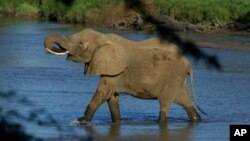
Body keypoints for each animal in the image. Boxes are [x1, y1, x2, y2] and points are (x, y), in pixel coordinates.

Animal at [44, 28, 204, 123]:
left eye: (81, 43)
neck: (102, 38)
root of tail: (188, 64)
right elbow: (112, 97)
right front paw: (117, 122)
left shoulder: (115, 70)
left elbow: (102, 92)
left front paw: (82, 121)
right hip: (177, 81)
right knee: (186, 101)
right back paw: (197, 119)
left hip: (172, 79)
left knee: (164, 104)